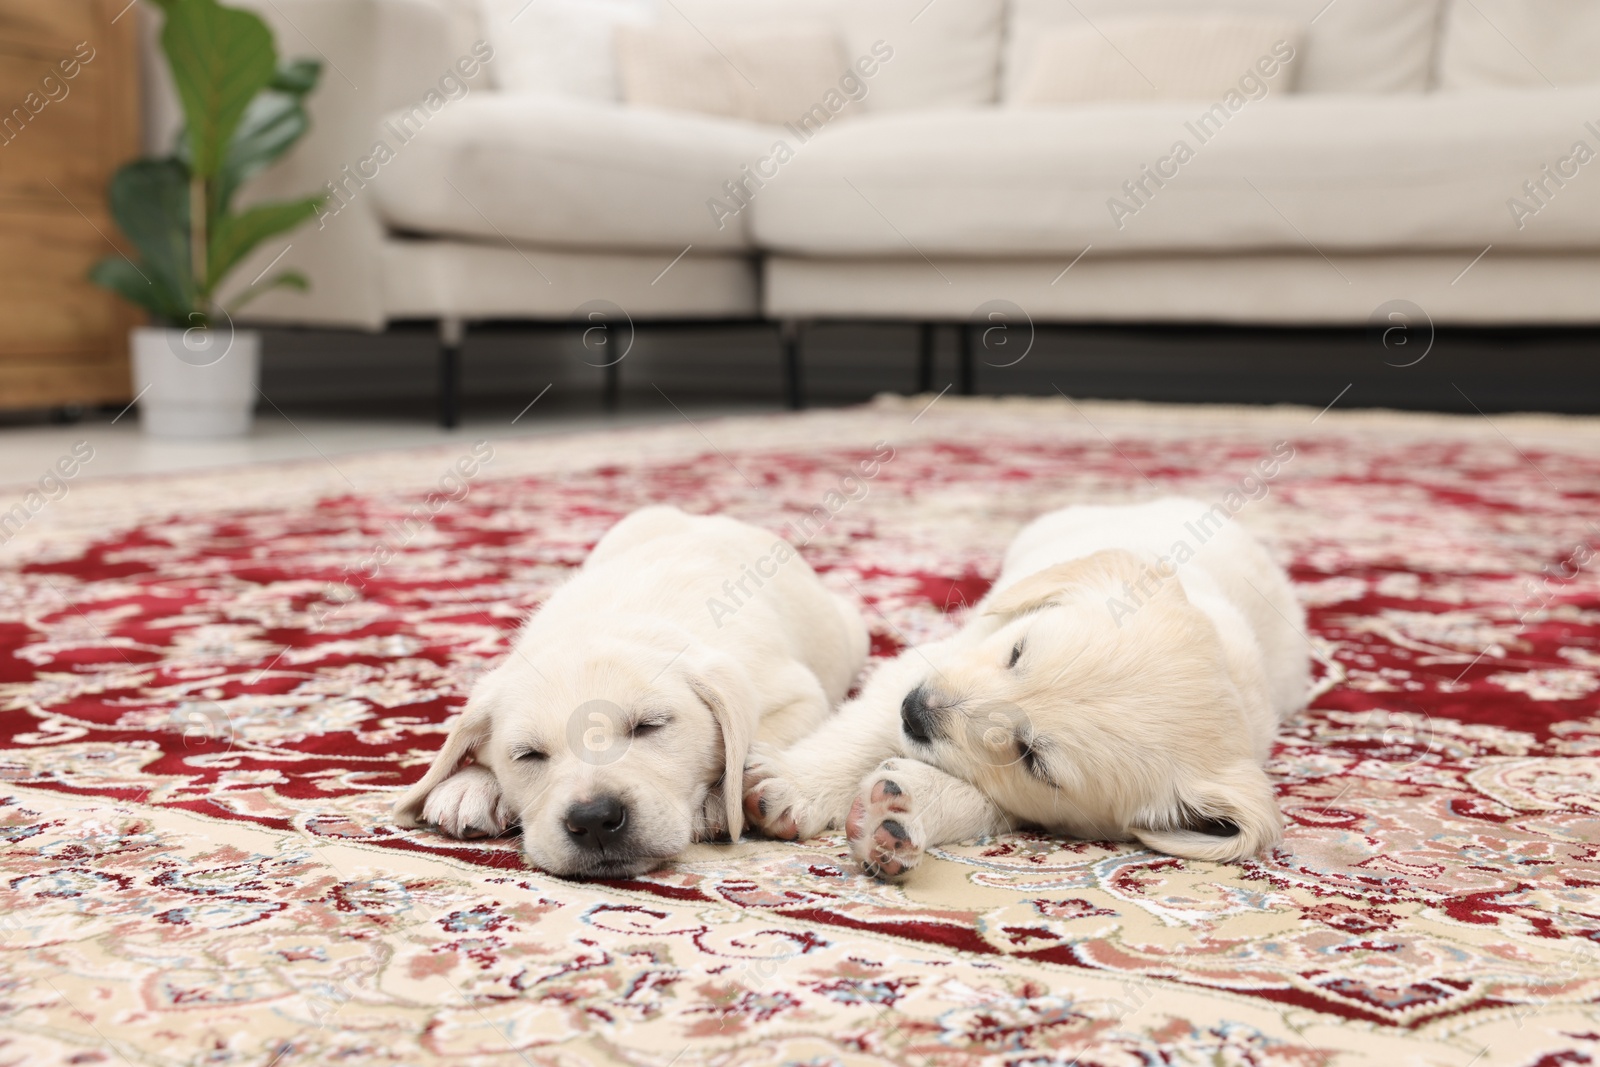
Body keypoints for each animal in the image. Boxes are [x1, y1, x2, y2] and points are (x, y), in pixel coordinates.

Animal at [395, 505, 870, 883]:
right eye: (528, 755)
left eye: (649, 726)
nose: (594, 821)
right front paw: (472, 785)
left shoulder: (800, 695)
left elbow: (756, 739)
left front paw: (718, 802)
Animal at [742, 499, 1305, 876]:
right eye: (1017, 651)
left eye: (1032, 759)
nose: (917, 711)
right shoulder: (929, 660)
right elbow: (861, 730)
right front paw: (796, 785)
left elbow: (982, 801)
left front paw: (897, 816)